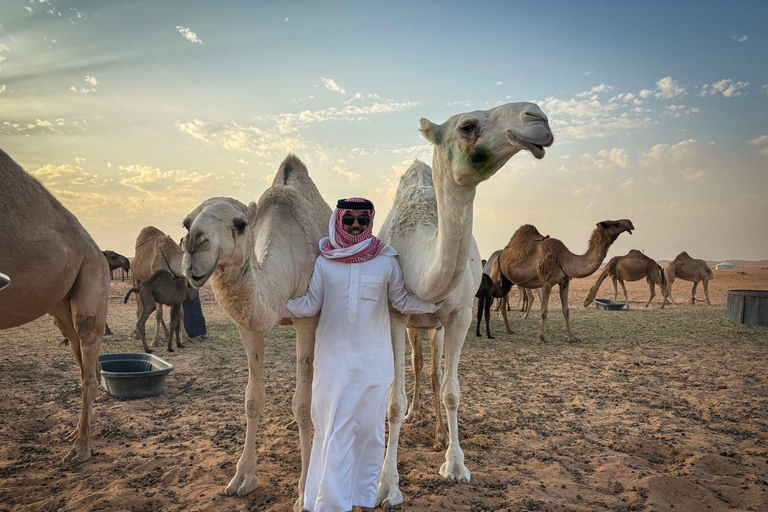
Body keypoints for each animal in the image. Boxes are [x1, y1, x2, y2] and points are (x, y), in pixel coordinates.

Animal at [0, 148, 109, 464]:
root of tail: (97, 249)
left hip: (92, 275)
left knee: (89, 360)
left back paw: (80, 451)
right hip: (60, 308)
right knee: (82, 356)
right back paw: (74, 436)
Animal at [181, 155, 330, 511]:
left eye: (240, 223)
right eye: (186, 223)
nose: (194, 244)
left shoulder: (308, 318)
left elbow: (302, 405)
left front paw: (304, 491)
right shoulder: (249, 324)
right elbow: (252, 398)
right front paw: (242, 479)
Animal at [376, 101, 554, 507]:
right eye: (467, 125)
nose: (538, 117)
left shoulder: (459, 316)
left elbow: (452, 391)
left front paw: (455, 464)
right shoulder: (394, 315)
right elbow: (393, 400)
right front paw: (387, 485)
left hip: (436, 326)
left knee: (433, 371)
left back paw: (439, 432)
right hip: (414, 326)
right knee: (417, 364)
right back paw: (417, 414)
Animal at [496, 220, 634, 343]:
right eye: (614, 223)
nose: (630, 223)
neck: (564, 259)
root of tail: (501, 254)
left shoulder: (564, 282)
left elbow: (566, 310)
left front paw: (572, 337)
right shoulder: (547, 283)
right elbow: (543, 311)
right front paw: (540, 338)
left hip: (508, 281)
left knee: (503, 304)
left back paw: (509, 330)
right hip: (501, 276)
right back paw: (507, 329)